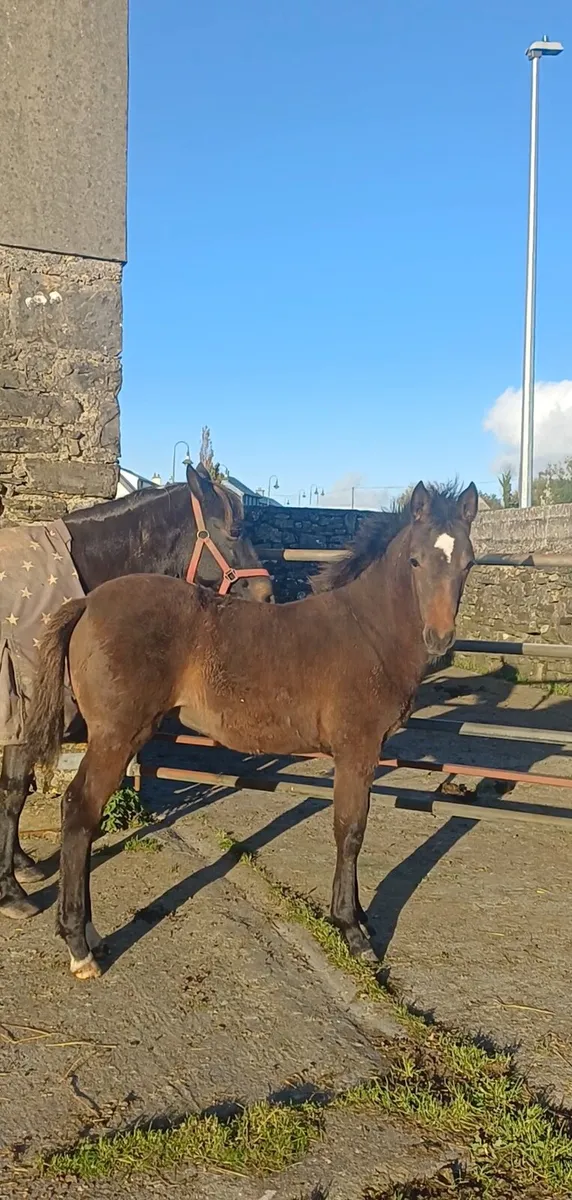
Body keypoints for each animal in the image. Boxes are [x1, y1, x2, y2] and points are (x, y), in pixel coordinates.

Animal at [0, 462, 273, 919]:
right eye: (235, 530)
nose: (267, 595)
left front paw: (20, 863)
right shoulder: (23, 712)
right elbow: (15, 790)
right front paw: (10, 890)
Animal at [26, 480, 477, 979]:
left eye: (468, 561)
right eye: (415, 561)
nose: (440, 638)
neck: (368, 631)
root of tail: (88, 602)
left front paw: (358, 917)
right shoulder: (356, 750)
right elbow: (350, 830)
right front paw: (352, 930)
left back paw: (89, 935)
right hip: (116, 736)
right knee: (79, 811)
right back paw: (79, 945)